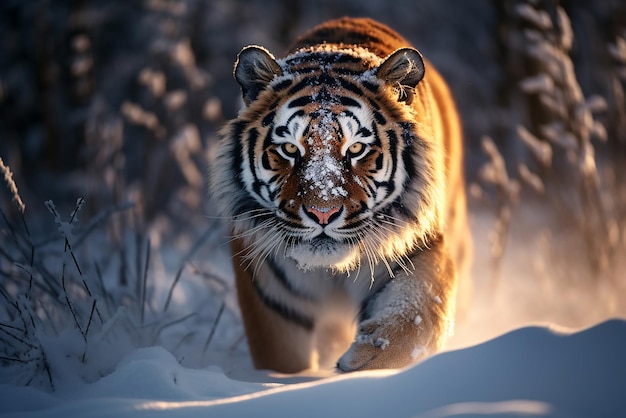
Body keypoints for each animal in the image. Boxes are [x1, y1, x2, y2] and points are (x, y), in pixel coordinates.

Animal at [210, 17, 468, 372]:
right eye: (290, 148)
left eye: (356, 149)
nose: (323, 213)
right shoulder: (270, 300)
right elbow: (284, 362)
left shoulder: (422, 246)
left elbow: (415, 319)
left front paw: (360, 361)